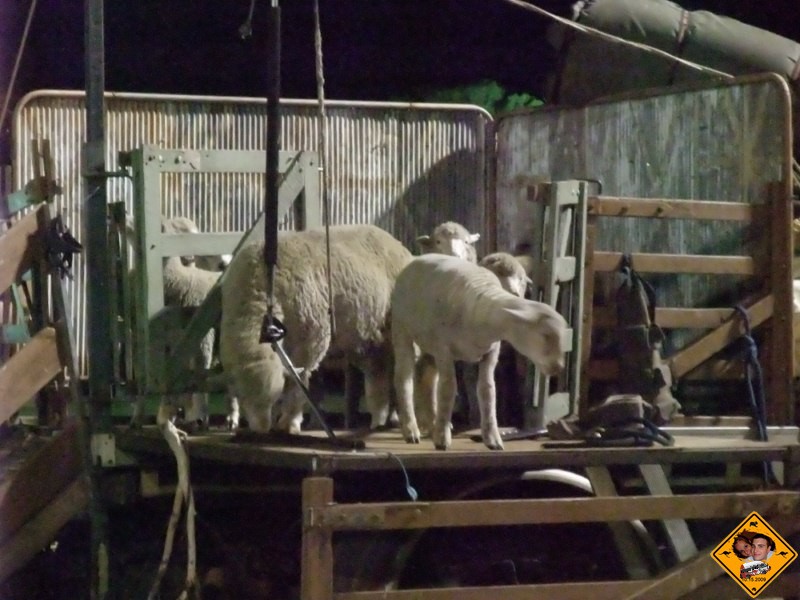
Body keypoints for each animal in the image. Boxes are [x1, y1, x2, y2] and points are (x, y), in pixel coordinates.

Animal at [220, 224, 413, 433]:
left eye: (273, 399)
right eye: (243, 397)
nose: (261, 430)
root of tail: (395, 242)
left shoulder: (310, 341)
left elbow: (298, 382)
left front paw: (290, 423)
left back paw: (391, 419)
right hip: (367, 338)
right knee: (378, 372)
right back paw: (381, 418)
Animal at [391, 254, 569, 450]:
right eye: (545, 335)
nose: (558, 368)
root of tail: (419, 257)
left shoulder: (490, 354)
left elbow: (487, 390)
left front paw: (492, 438)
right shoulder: (444, 350)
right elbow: (448, 389)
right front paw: (442, 439)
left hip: (429, 342)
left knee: (428, 377)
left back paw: (431, 423)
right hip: (402, 329)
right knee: (404, 378)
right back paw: (411, 429)